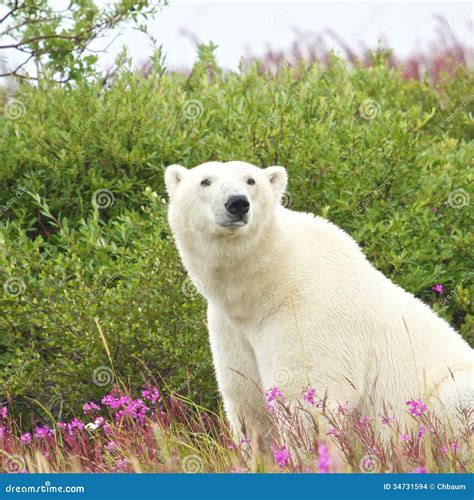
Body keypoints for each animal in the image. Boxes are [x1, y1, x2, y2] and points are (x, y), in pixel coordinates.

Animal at [164, 161, 474, 442]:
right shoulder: (230, 330)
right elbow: (247, 405)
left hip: (447, 390)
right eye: (205, 181)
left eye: (251, 180)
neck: (265, 284)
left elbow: (306, 399)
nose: (237, 203)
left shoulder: (307, 313)